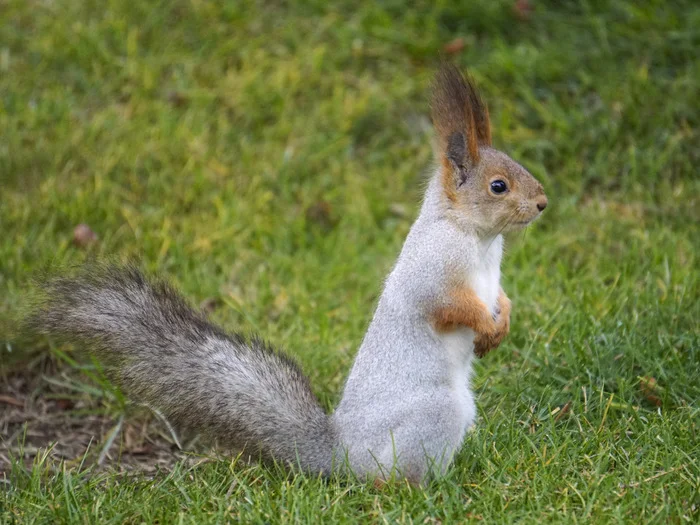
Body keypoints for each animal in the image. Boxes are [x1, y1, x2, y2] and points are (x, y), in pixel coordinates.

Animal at [30, 65, 548, 488]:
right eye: (498, 186)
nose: (543, 203)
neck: (476, 237)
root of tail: (340, 454)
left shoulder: (491, 275)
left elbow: (501, 297)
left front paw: (501, 323)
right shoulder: (433, 271)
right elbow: (447, 304)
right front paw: (484, 326)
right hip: (435, 414)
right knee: (389, 479)